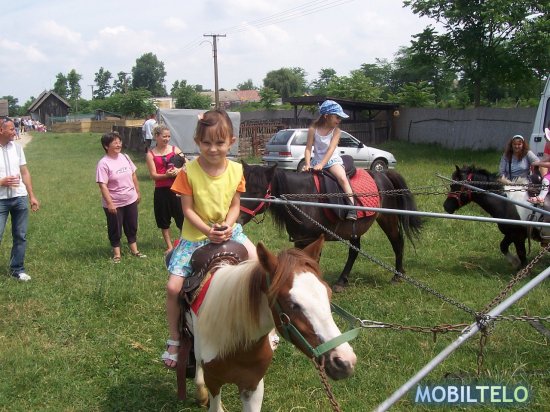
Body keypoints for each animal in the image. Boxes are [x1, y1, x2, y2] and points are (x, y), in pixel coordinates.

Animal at [186, 236, 357, 412]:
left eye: (328, 293)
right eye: (292, 304)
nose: (344, 362)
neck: (235, 345)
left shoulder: (253, 385)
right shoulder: (213, 381)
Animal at [238, 162, 422, 291]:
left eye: (257, 191)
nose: (236, 218)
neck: (305, 198)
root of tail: (383, 174)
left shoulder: (313, 239)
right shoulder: (300, 239)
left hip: (387, 219)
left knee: (397, 242)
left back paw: (397, 275)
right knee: (355, 250)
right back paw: (342, 280)